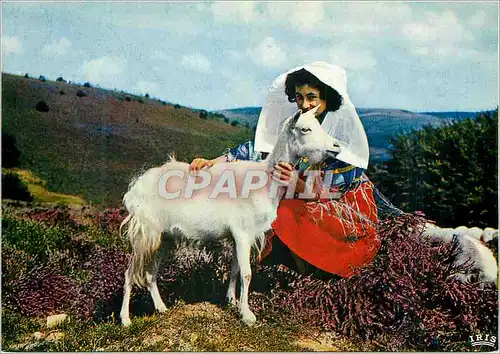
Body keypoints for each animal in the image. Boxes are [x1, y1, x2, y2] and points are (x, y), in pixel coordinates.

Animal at [119, 105, 342, 326]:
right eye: (305, 129)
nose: (336, 146)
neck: (266, 180)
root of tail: (135, 188)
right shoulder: (243, 233)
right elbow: (246, 273)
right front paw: (247, 314)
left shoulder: (240, 236)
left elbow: (235, 269)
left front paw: (232, 301)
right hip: (145, 232)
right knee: (130, 273)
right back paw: (125, 319)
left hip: (164, 237)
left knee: (150, 273)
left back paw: (161, 308)